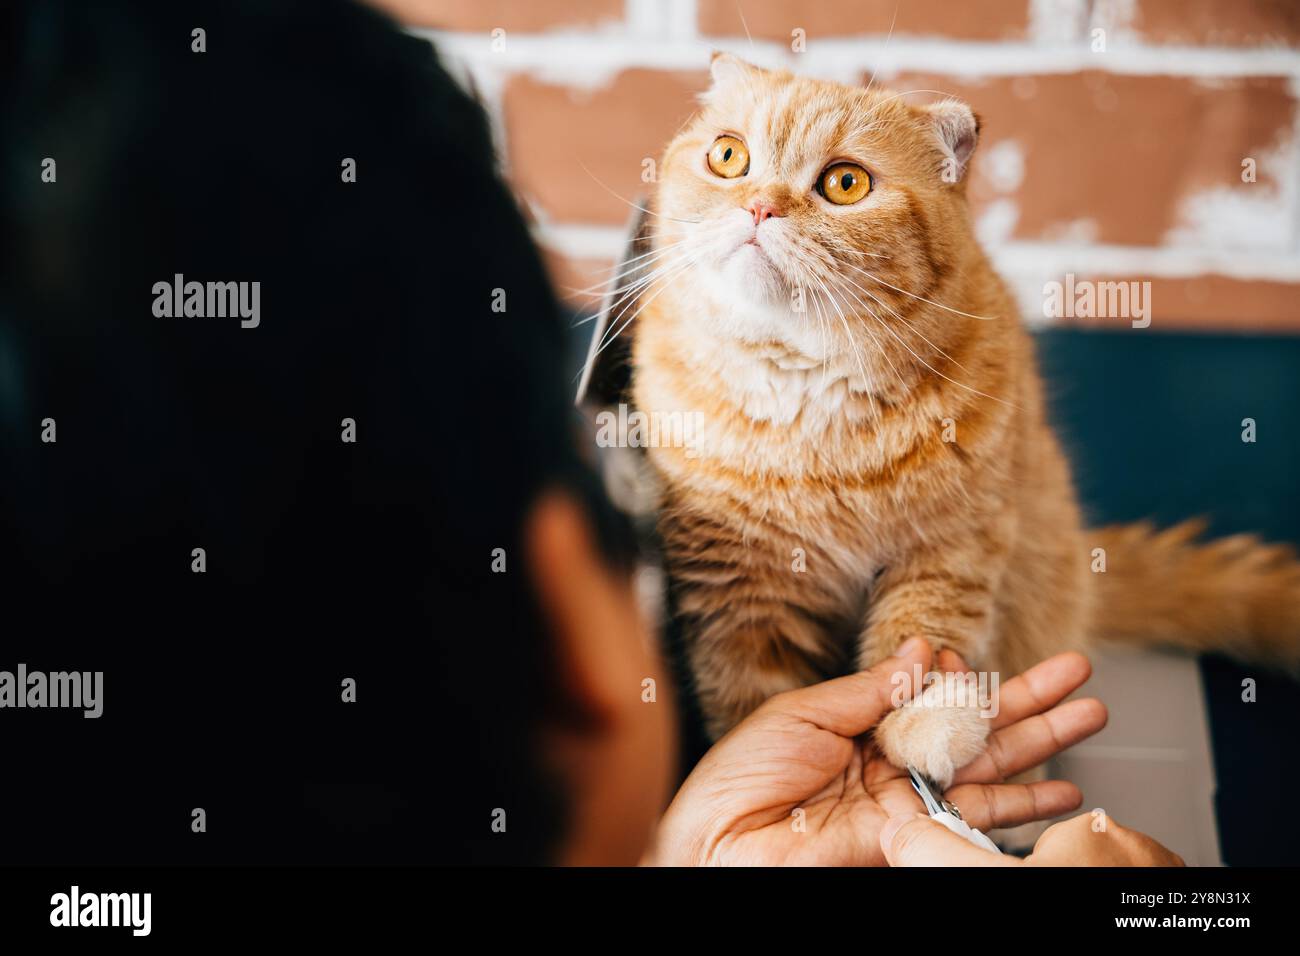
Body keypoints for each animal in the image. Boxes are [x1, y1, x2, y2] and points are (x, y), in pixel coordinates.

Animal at [621, 54, 1300, 785]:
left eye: (844, 183)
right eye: (728, 155)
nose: (759, 206)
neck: (807, 399)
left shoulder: (953, 546)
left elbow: (921, 635)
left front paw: (927, 718)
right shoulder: (738, 592)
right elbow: (752, 703)